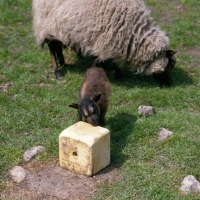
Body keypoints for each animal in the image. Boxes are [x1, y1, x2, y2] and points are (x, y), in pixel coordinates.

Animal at [32, 0, 177, 85]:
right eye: (170, 64)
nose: (169, 84)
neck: (134, 33)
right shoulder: (104, 38)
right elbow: (100, 59)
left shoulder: (112, 41)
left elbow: (112, 59)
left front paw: (116, 73)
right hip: (47, 24)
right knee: (52, 48)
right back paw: (58, 72)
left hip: (59, 29)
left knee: (58, 46)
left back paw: (63, 62)